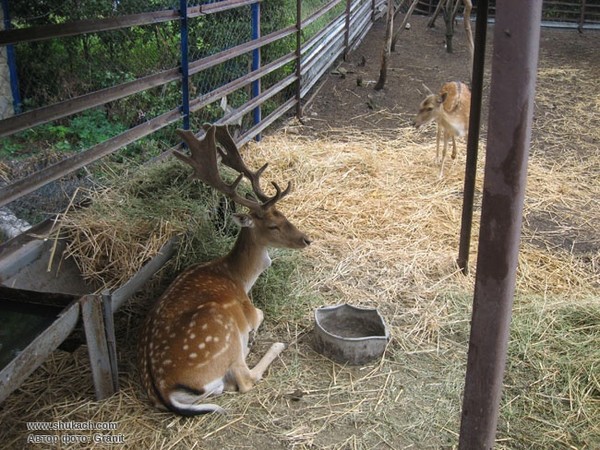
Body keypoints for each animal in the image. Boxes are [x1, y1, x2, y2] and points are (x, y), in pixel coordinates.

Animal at [139, 123, 312, 414]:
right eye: (273, 226)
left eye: (284, 215)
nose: (306, 239)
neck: (238, 277)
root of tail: (165, 391)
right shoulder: (249, 310)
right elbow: (261, 313)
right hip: (223, 333)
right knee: (244, 380)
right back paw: (272, 345)